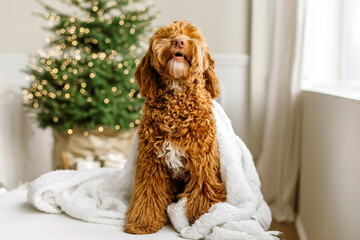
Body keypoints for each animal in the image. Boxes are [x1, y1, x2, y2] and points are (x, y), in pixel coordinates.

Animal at [124, 20, 225, 234]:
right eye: (166, 35)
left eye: (192, 36)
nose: (178, 41)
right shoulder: (151, 162)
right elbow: (148, 193)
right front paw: (142, 222)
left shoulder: (203, 161)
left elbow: (203, 190)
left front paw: (203, 221)